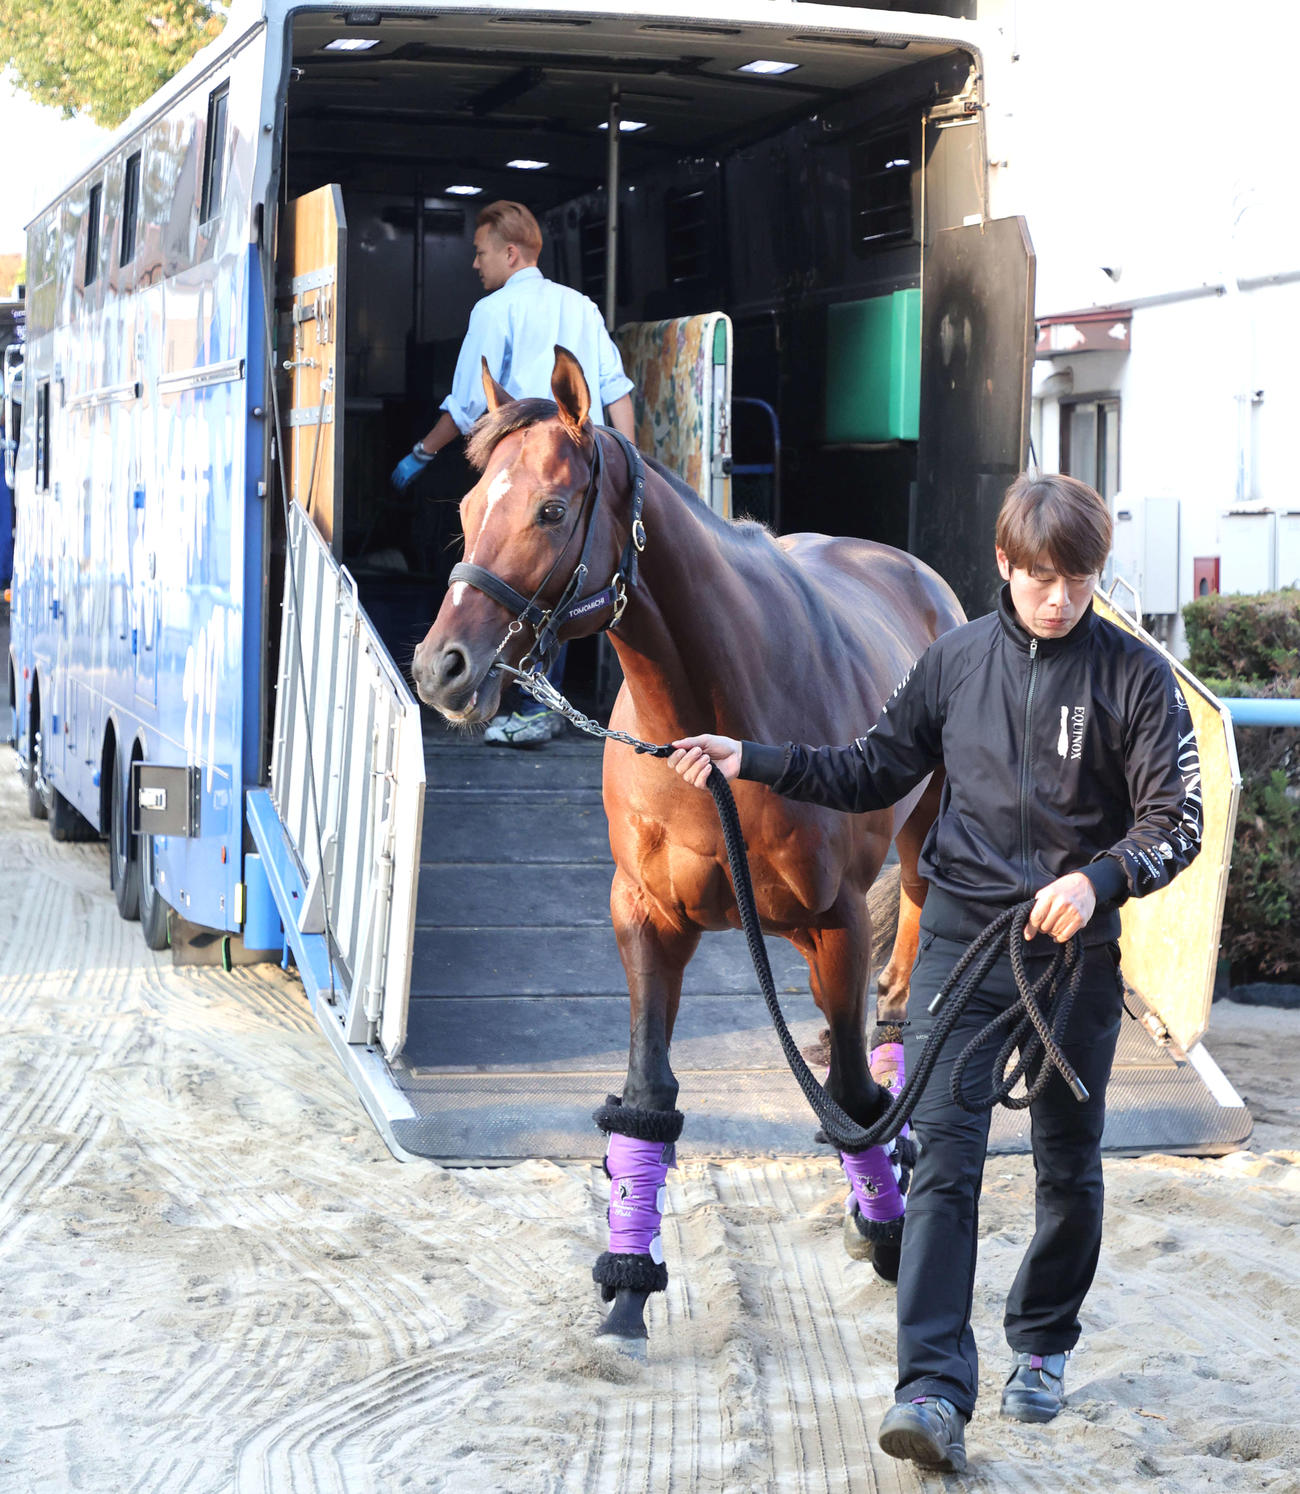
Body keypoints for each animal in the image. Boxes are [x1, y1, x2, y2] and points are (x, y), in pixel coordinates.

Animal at [411, 347, 965, 1352]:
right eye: (469, 509)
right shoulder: (648, 919)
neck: (711, 727)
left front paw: (888, 1235)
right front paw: (628, 1289)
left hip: (917, 852)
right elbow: (647, 1095)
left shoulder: (835, 924)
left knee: (898, 1001)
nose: (443, 669)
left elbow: (848, 1092)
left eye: (551, 511)